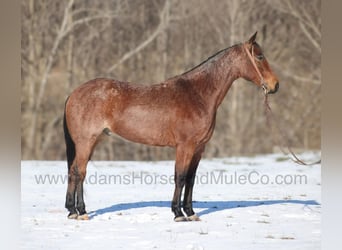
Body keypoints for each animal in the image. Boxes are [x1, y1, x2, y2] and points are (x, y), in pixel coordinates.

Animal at [63, 31, 278, 221]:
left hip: (92, 142)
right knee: (79, 172)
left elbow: (191, 179)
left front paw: (190, 212)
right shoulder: (185, 146)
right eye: (259, 56)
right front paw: (178, 213)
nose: (275, 85)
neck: (198, 94)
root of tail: (74, 93)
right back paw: (80, 212)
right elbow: (180, 177)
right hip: (86, 142)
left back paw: (74, 210)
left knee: (76, 171)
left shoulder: (199, 148)